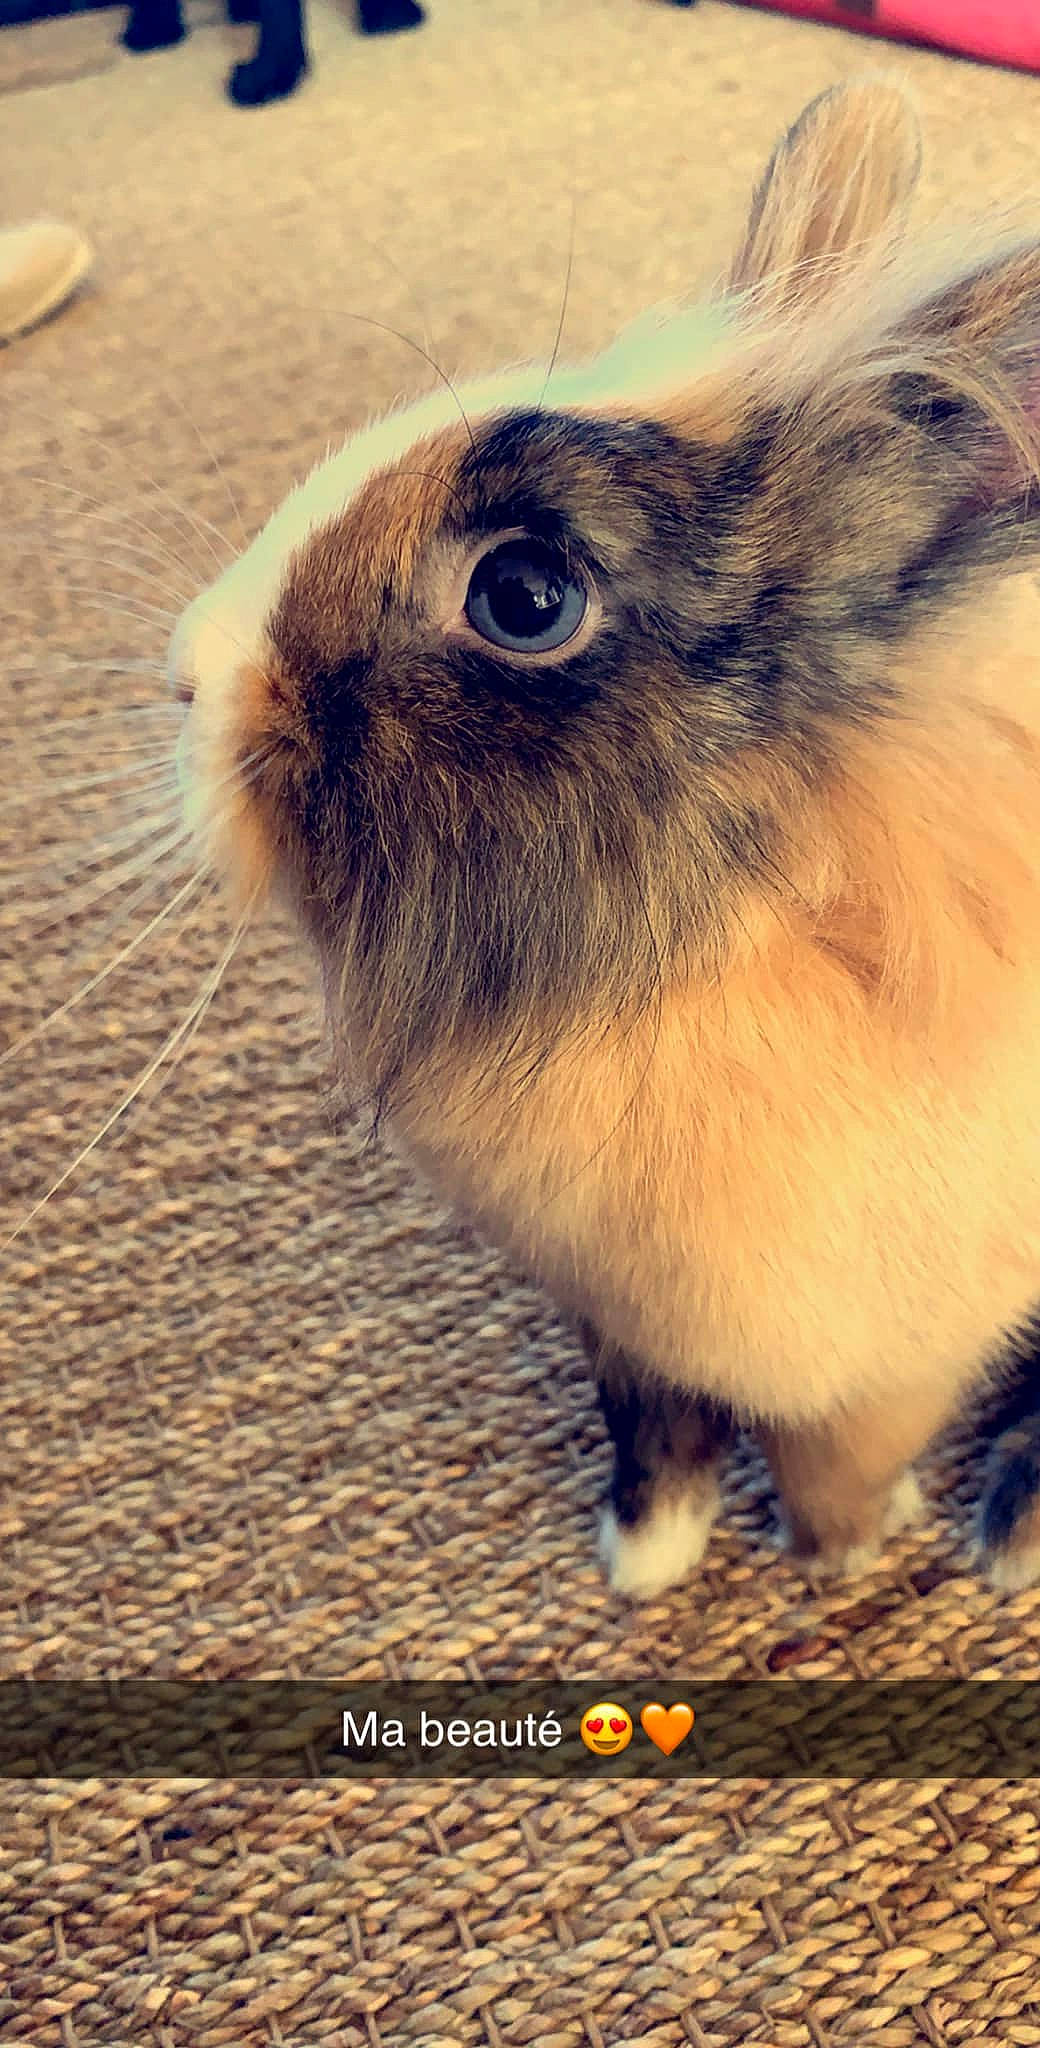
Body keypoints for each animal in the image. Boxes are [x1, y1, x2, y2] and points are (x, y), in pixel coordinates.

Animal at [168, 79, 1040, 1599]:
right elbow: (649, 1418)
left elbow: (835, 1459)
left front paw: (837, 1557)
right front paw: (646, 1551)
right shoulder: (620, 1318)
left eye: (523, 596)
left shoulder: (887, 1356)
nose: (190, 672)